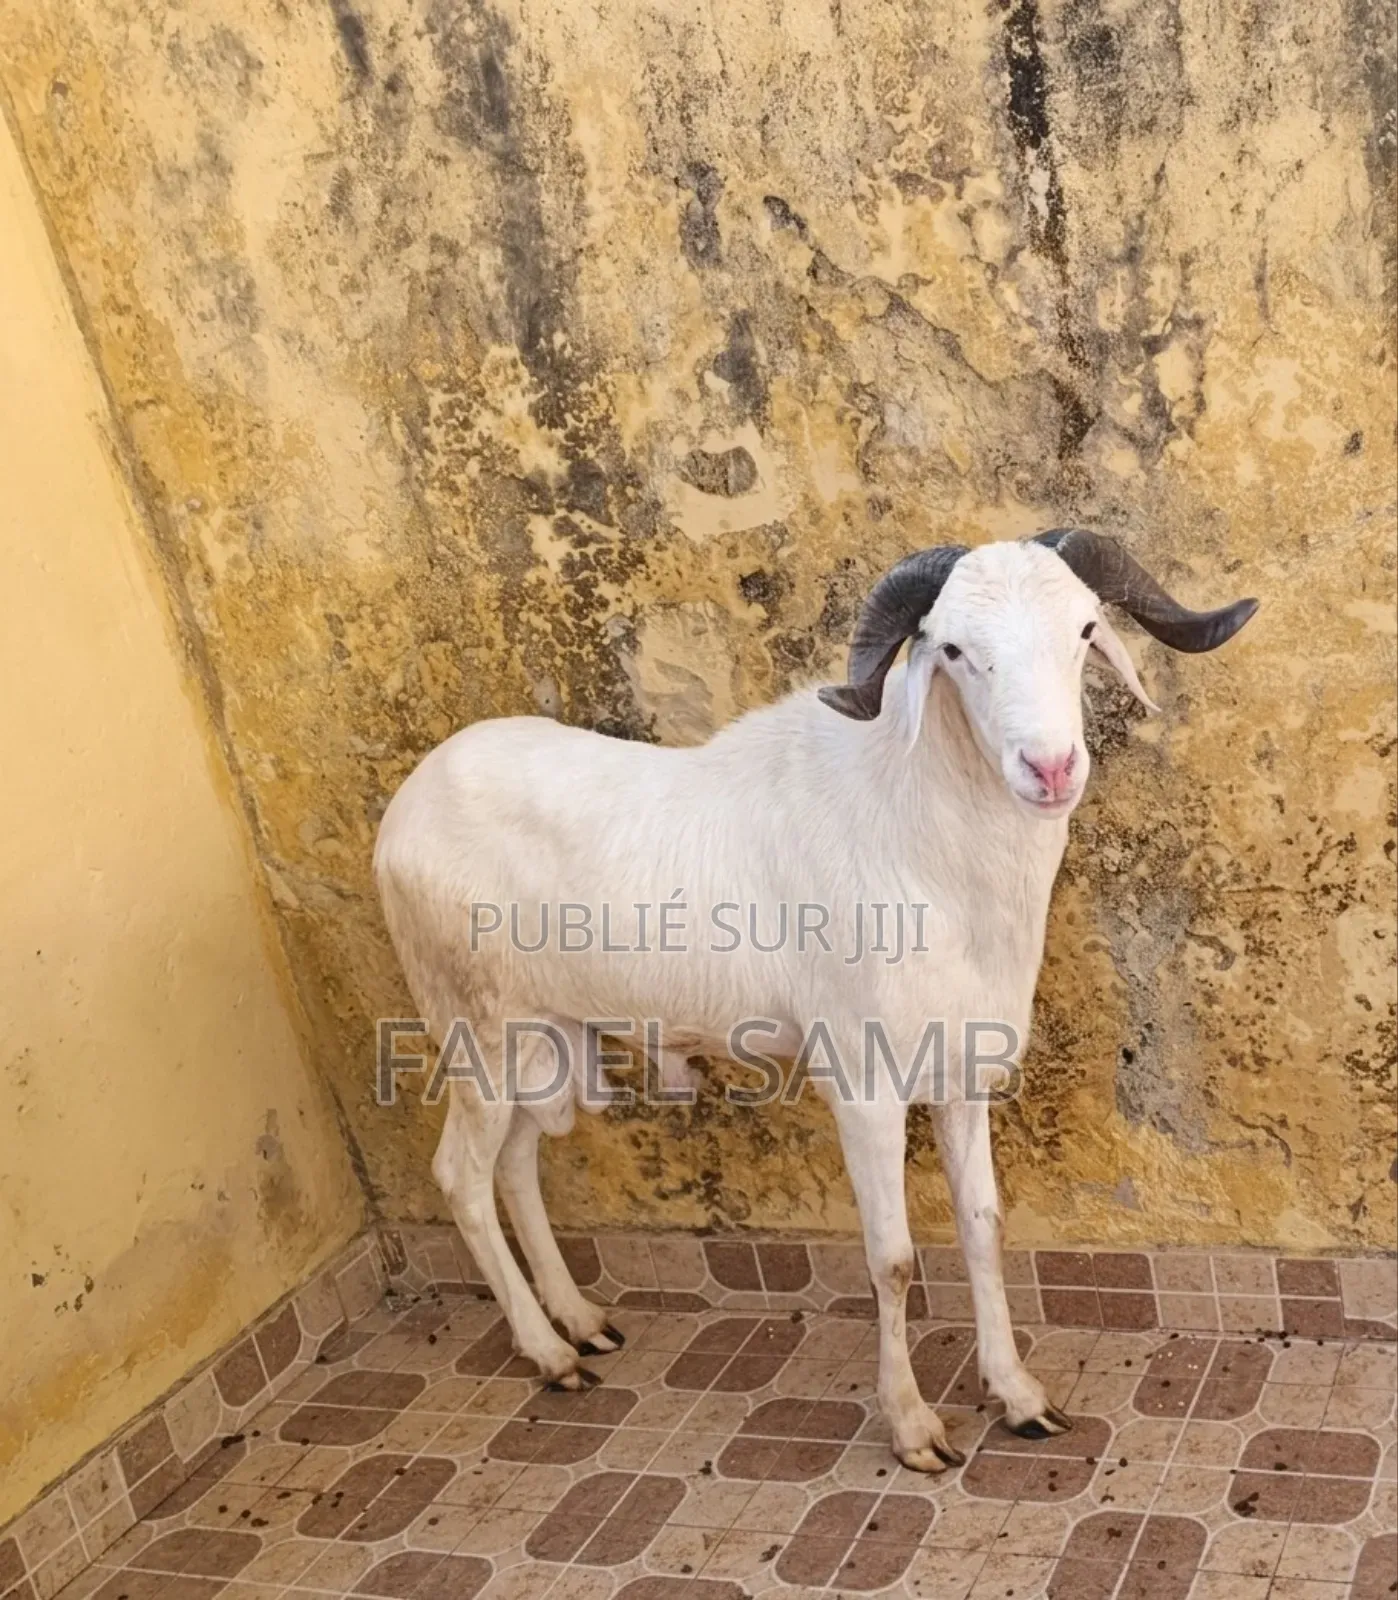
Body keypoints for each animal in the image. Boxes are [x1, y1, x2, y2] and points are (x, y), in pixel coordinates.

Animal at [374, 529, 1257, 1471]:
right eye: (953, 650)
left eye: (1086, 628)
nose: (1050, 768)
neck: (929, 846)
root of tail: (406, 809)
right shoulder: (864, 1088)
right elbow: (892, 1262)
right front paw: (913, 1429)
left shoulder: (960, 1075)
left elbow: (983, 1227)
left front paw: (1018, 1398)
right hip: (476, 1033)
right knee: (463, 1176)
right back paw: (547, 1356)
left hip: (544, 1040)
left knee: (514, 1166)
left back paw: (581, 1325)